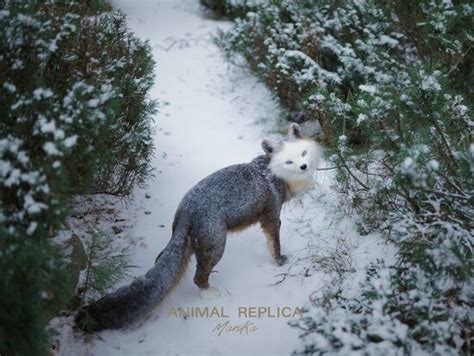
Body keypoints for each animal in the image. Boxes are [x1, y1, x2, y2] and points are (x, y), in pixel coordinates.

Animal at [76, 124, 322, 330]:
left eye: (303, 154)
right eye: (288, 161)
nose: (304, 166)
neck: (274, 173)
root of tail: (187, 206)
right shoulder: (271, 216)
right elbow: (275, 244)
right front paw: (278, 262)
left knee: (163, 260)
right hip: (217, 247)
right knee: (197, 277)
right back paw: (208, 293)